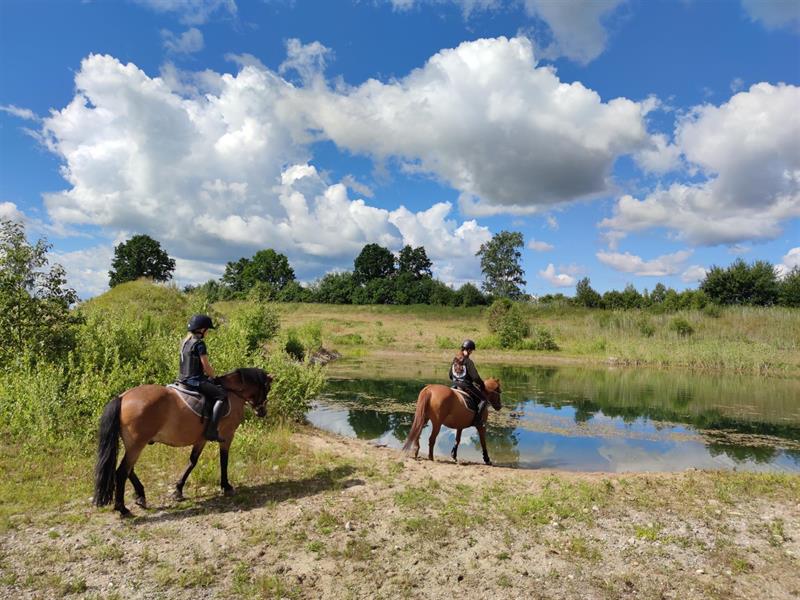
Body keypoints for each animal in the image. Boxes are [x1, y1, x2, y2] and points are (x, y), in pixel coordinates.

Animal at [93, 368, 272, 517]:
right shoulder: (227, 435)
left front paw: (178, 490)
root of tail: (122, 397)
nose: (262, 412)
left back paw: (140, 496)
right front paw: (226, 486)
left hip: (133, 445)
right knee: (122, 472)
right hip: (137, 444)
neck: (232, 392)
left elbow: (192, 461)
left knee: (129, 469)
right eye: (267, 388)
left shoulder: (201, 439)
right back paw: (123, 508)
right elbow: (223, 460)